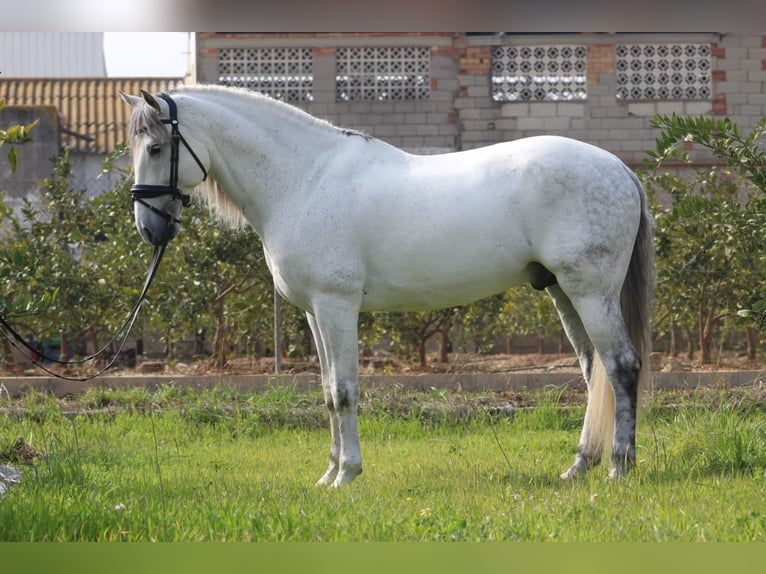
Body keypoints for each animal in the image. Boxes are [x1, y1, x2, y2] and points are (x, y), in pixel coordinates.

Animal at [120, 85, 656, 488]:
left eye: (155, 148)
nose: (148, 229)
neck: (304, 180)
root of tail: (620, 169)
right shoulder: (315, 312)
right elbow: (326, 390)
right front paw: (328, 474)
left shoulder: (335, 306)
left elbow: (344, 391)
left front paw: (347, 475)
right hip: (565, 293)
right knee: (593, 371)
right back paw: (579, 466)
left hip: (591, 293)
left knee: (621, 366)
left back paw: (619, 467)